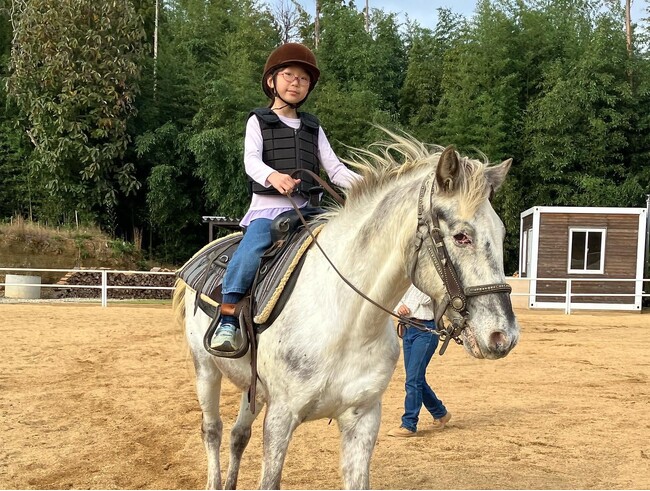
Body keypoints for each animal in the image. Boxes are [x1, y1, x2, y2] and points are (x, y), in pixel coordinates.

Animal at [173, 132, 520, 489]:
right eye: (461, 236)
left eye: (503, 233)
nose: (502, 335)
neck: (347, 322)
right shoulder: (281, 417)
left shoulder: (362, 418)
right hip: (206, 370)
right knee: (213, 430)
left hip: (253, 389)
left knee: (238, 434)